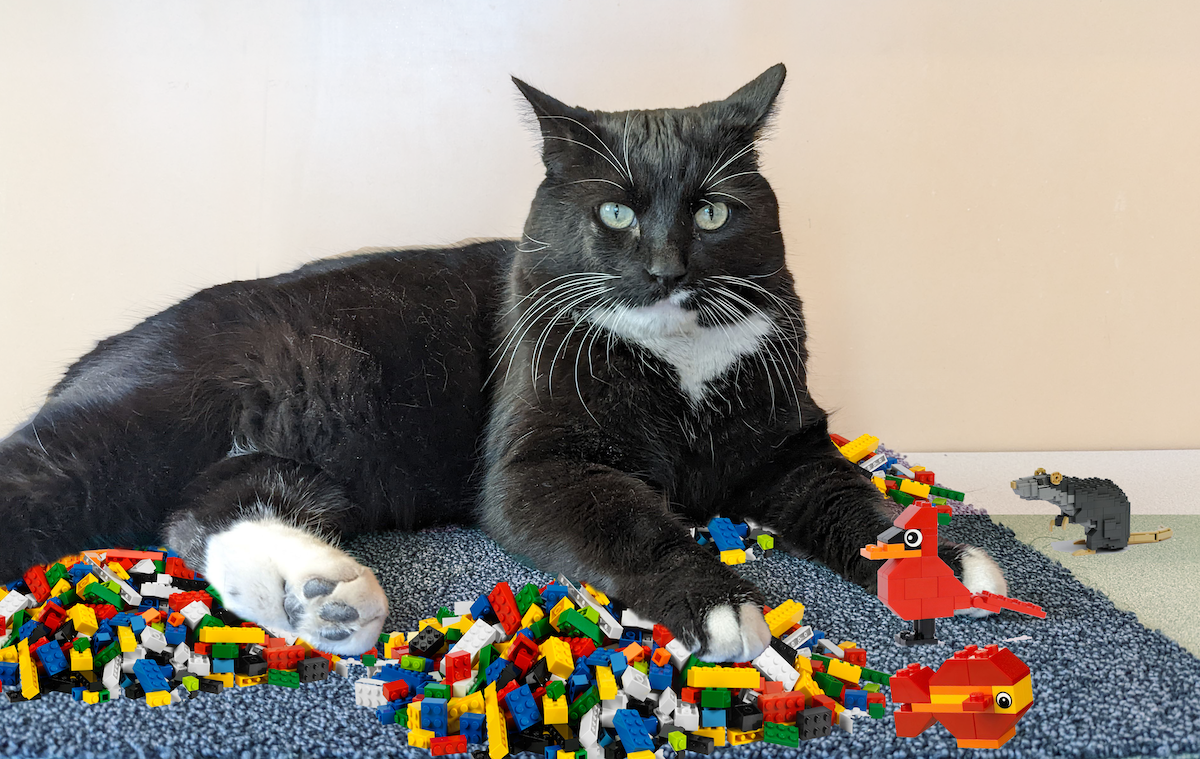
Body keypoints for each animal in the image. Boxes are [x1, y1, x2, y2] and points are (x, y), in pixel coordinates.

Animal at [0, 65, 1003, 658]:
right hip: (132, 426)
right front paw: (715, 598)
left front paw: (941, 564)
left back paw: (319, 597)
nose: (665, 266)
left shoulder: (784, 442)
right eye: (613, 212)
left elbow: (851, 498)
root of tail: (100, 352)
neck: (676, 353)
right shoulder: (534, 463)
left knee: (197, 511)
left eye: (714, 211)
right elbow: (627, 520)